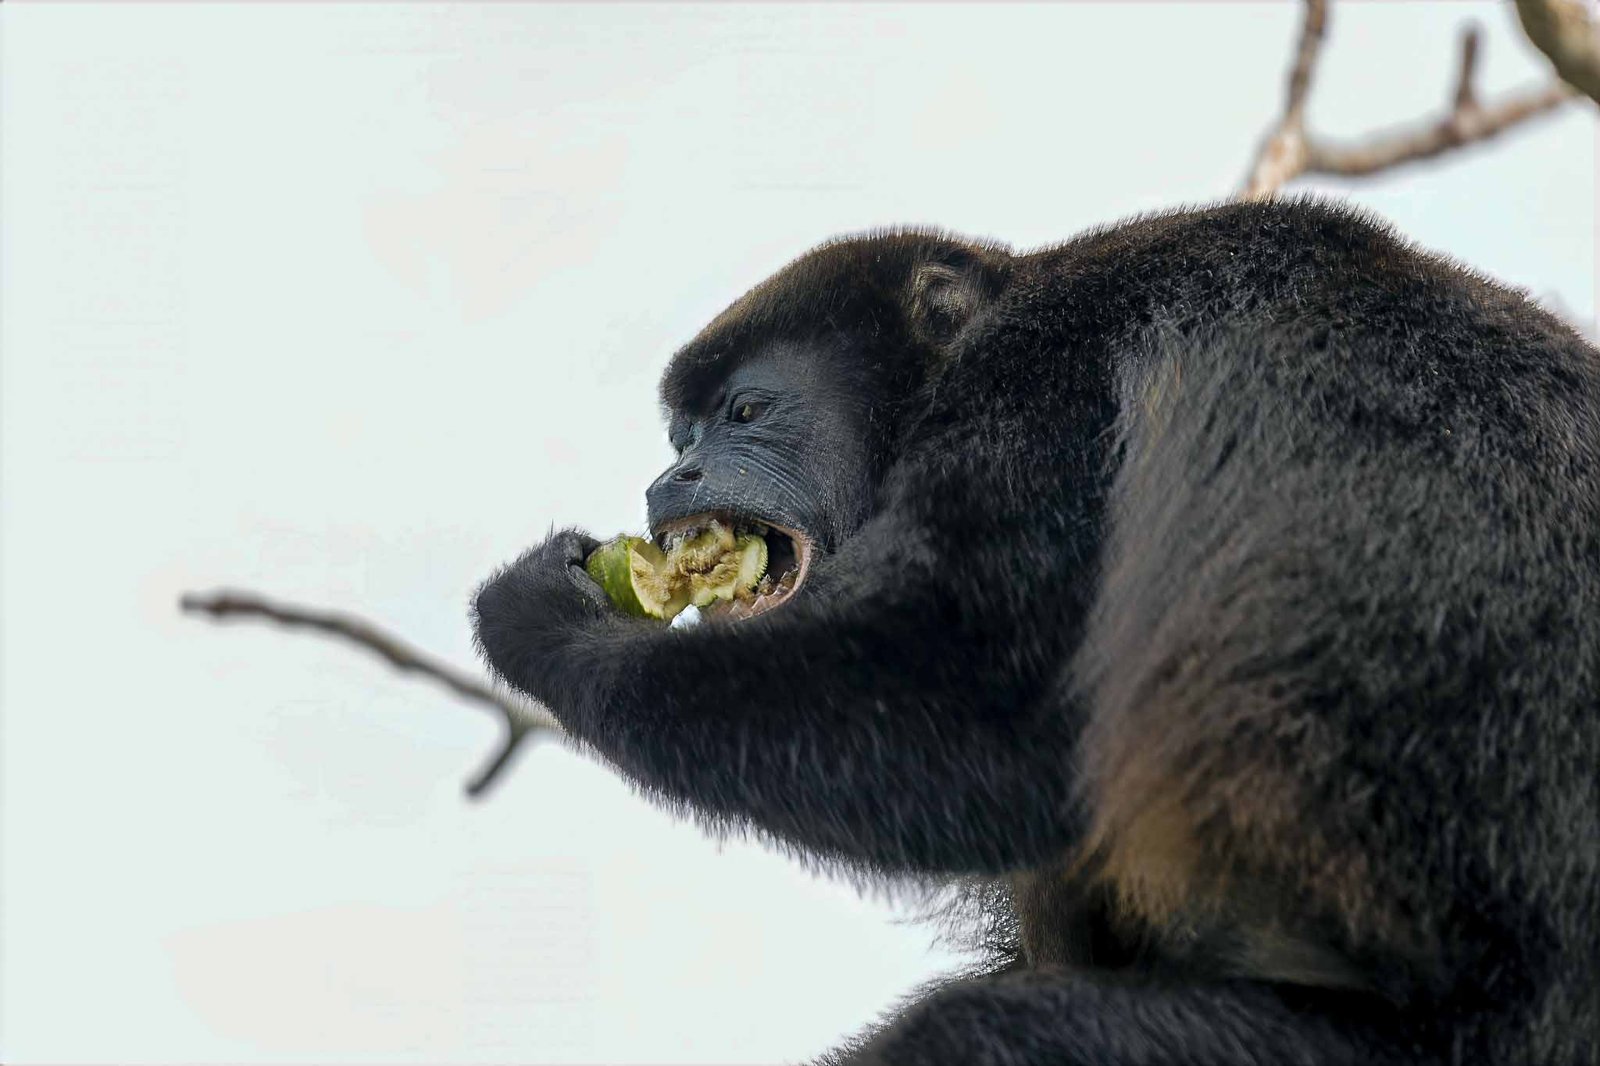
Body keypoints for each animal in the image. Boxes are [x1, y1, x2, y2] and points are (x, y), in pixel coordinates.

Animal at [472, 198, 1600, 1065]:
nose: (675, 475)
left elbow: (991, 722)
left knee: (974, 1034)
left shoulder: (1050, 382)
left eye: (746, 411)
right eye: (683, 433)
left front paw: (542, 616)